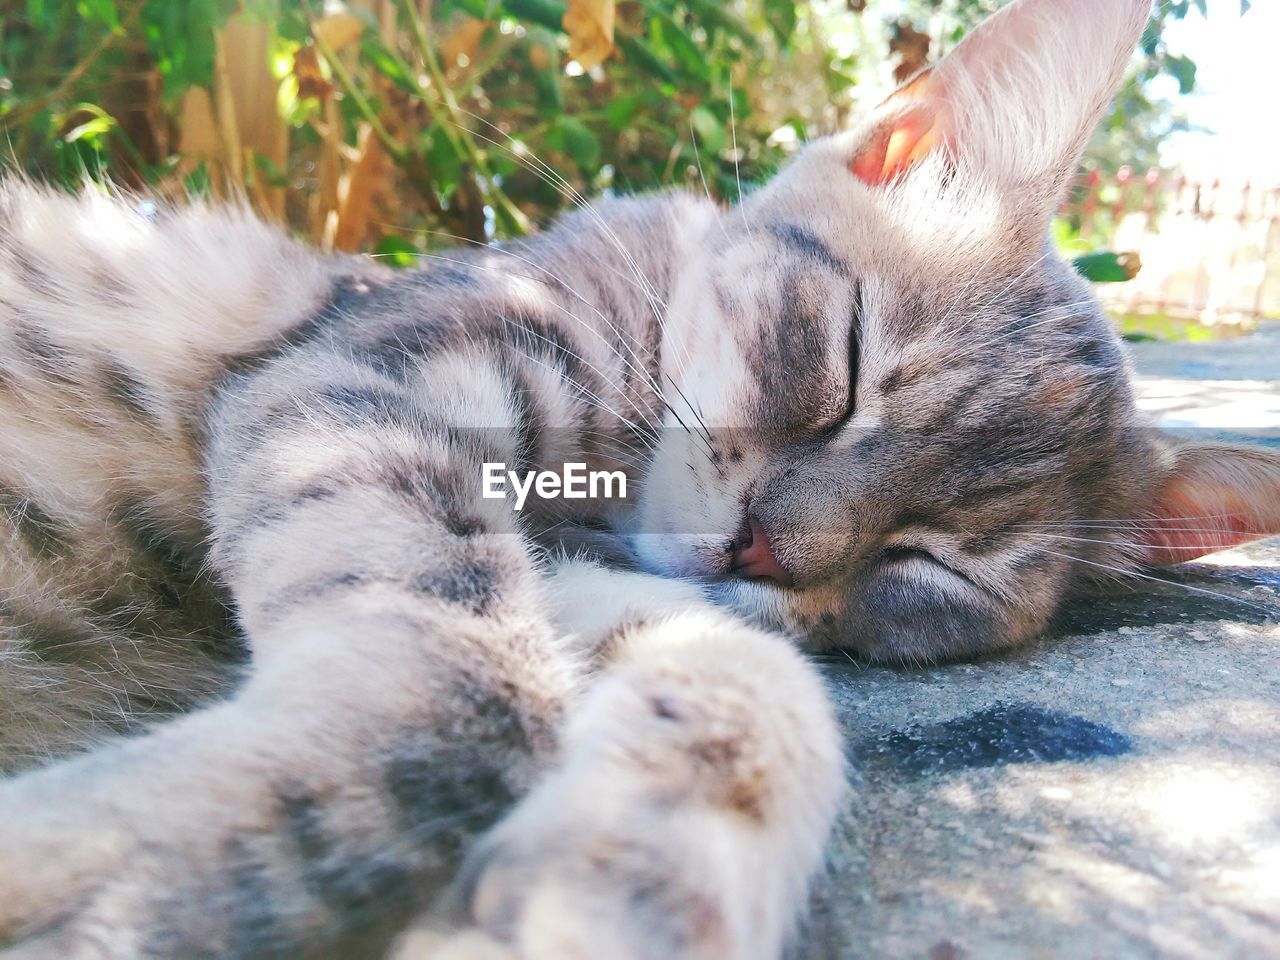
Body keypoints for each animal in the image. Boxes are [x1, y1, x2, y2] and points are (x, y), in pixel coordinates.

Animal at [2, 0, 1280, 957]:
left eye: (928, 567)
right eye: (845, 368)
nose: (766, 547)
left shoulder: (586, 570)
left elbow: (755, 678)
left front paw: (605, 887)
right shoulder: (355, 385)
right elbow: (458, 684)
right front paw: (111, 875)